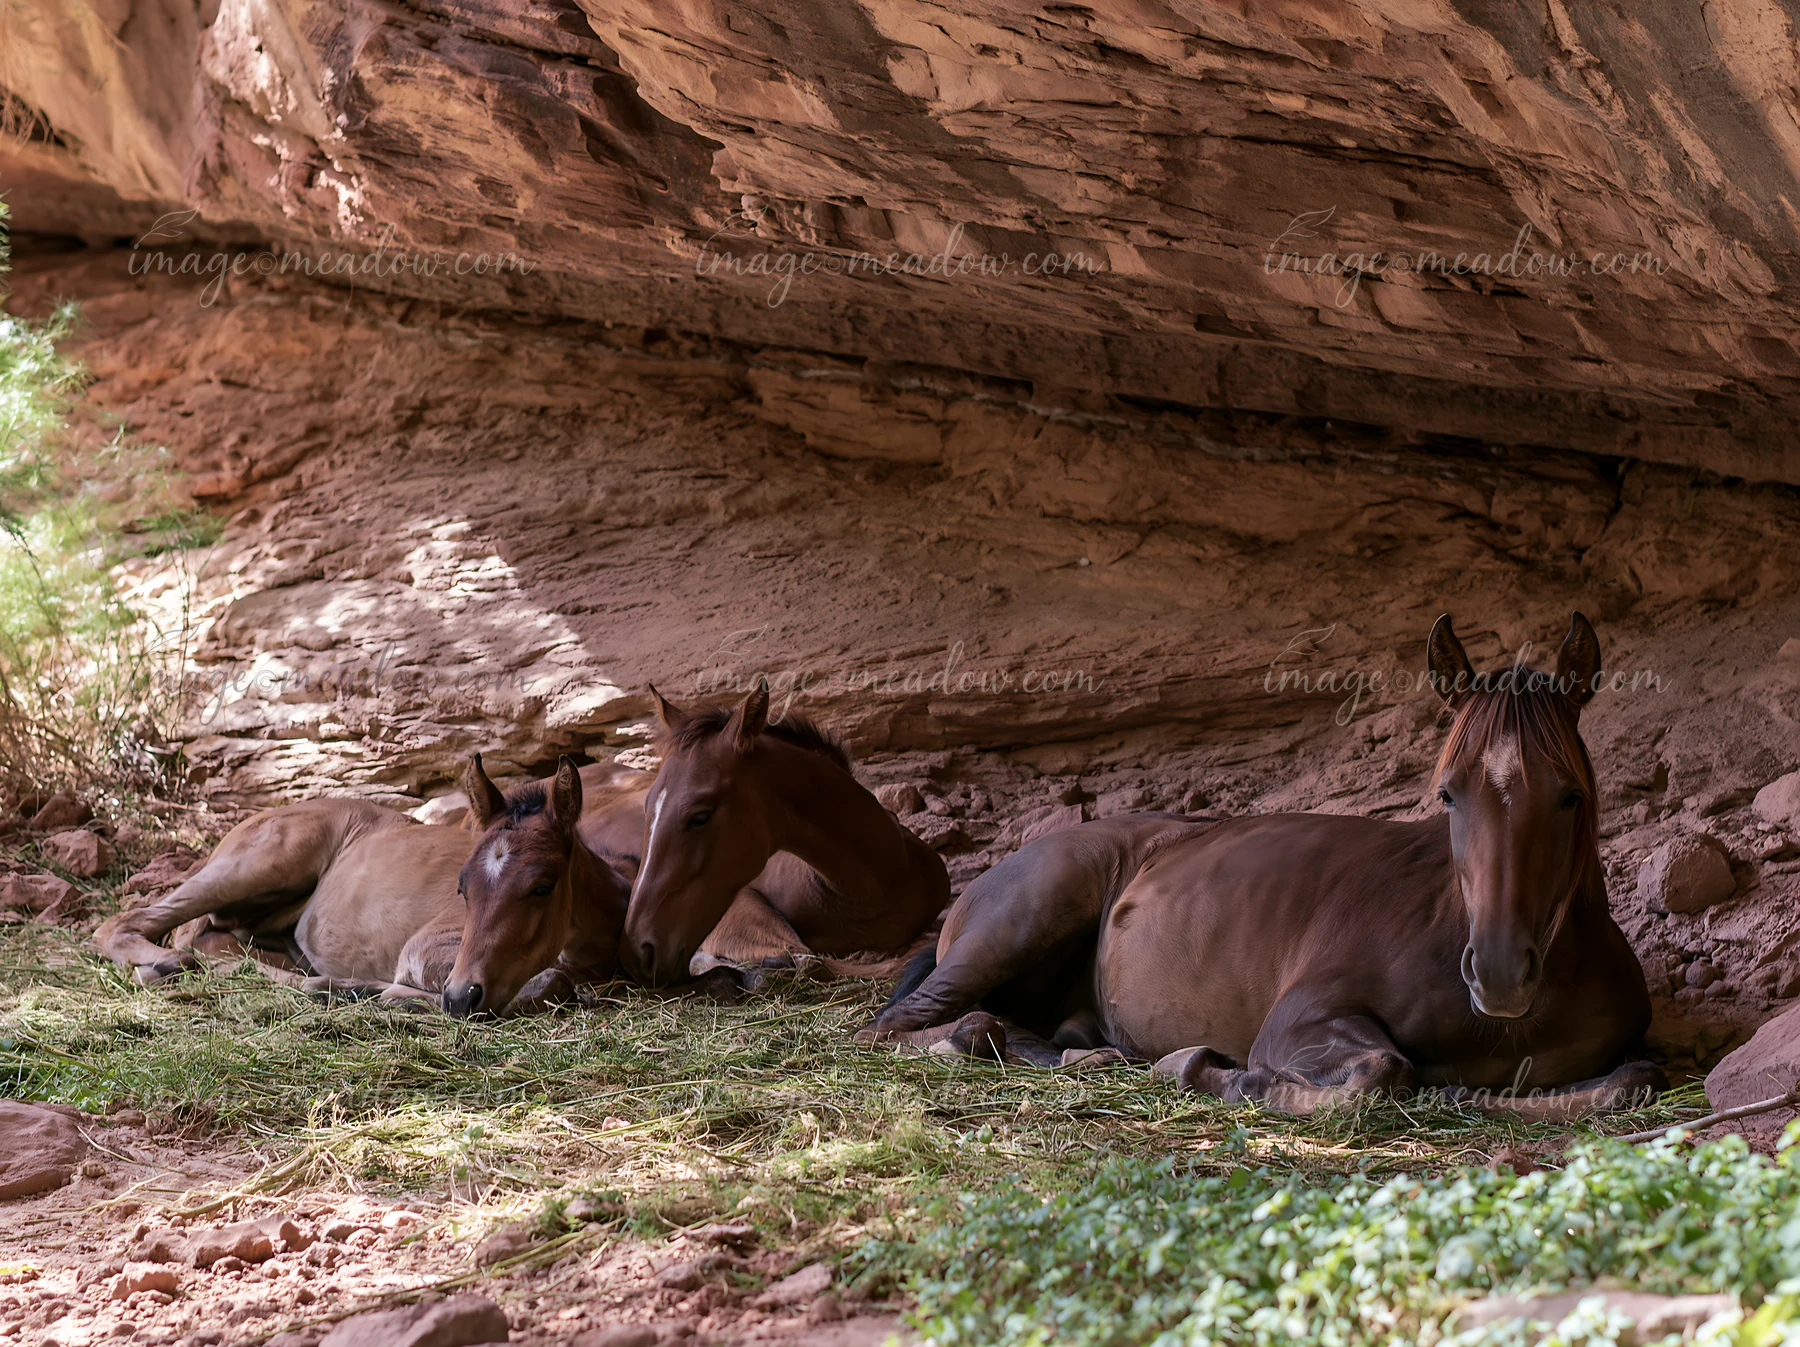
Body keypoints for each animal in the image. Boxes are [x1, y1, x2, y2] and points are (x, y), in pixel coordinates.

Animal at [868, 613, 1663, 1116]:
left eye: (1568, 796)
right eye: (1449, 793)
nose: (1497, 972)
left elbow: (1633, 1079)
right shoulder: (1300, 1022)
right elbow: (1379, 1073)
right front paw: (1208, 1070)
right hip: (1022, 920)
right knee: (906, 1025)